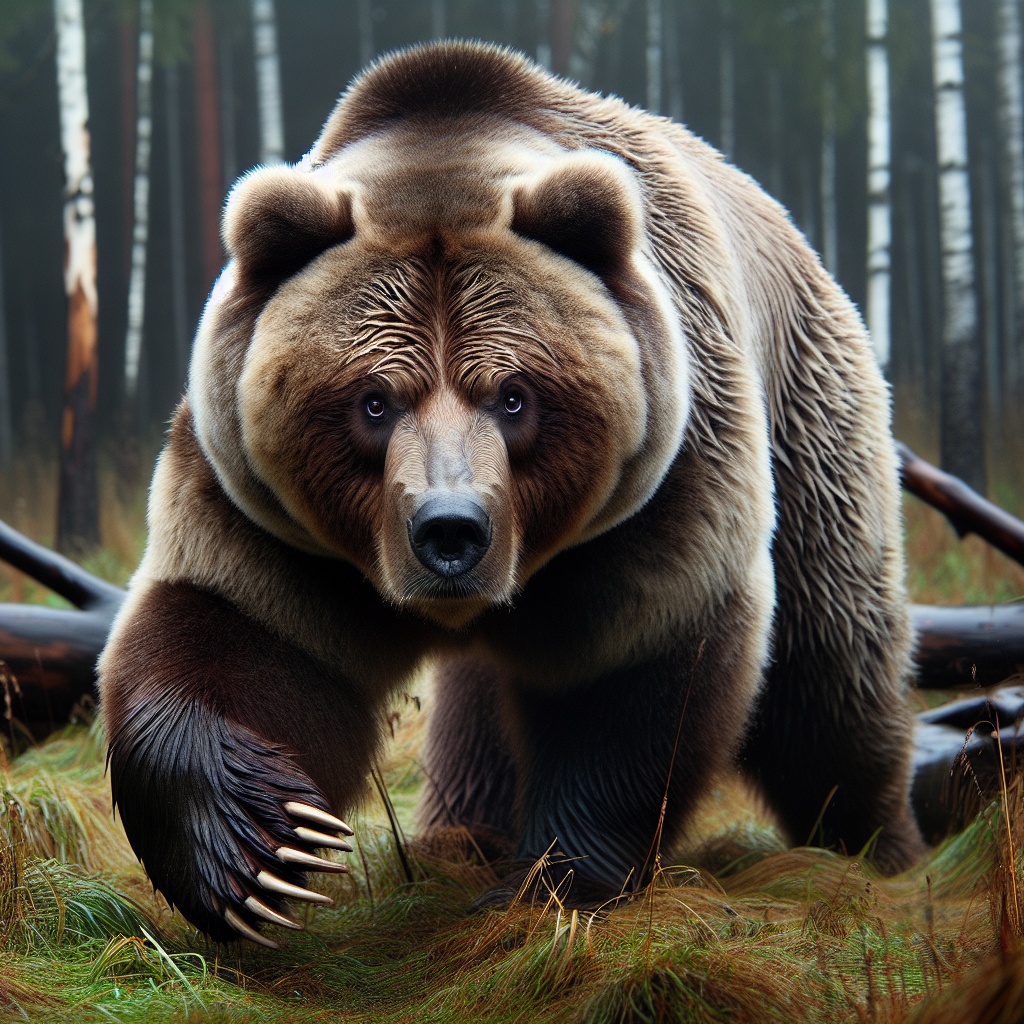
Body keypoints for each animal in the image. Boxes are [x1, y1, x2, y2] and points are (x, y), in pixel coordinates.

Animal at [99, 40, 926, 946]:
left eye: (514, 394)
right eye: (373, 400)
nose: (450, 531)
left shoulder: (665, 479)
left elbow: (630, 669)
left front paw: (553, 884)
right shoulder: (276, 515)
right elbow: (248, 631)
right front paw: (262, 853)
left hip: (806, 422)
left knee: (830, 667)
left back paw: (877, 846)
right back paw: (463, 834)